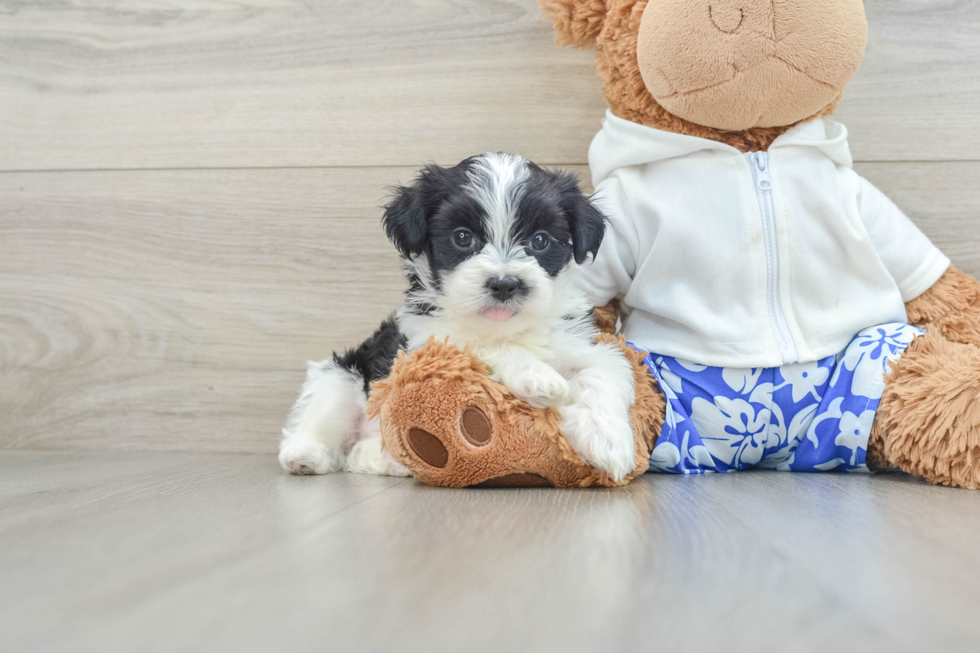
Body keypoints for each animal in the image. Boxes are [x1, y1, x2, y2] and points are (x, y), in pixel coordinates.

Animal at [280, 152, 640, 478]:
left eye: (540, 240)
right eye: (463, 237)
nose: (504, 284)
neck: (507, 327)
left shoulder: (577, 343)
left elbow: (604, 369)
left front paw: (609, 441)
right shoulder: (428, 343)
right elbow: (481, 344)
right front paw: (537, 375)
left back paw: (387, 459)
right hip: (344, 373)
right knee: (324, 410)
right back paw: (306, 454)